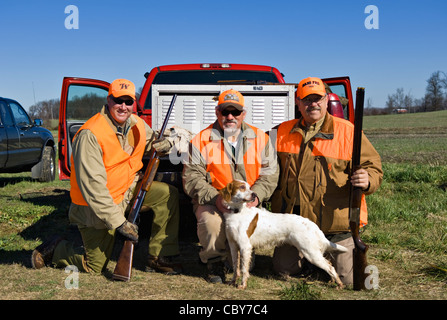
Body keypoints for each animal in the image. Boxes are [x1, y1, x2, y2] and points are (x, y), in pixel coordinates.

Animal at [220, 180, 350, 290]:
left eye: (249, 187)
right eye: (242, 187)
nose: (254, 195)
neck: (237, 212)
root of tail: (311, 224)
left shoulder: (245, 246)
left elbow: (243, 269)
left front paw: (243, 285)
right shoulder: (233, 245)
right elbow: (236, 267)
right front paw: (232, 282)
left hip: (310, 253)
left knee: (330, 266)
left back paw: (339, 284)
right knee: (329, 264)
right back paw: (333, 281)